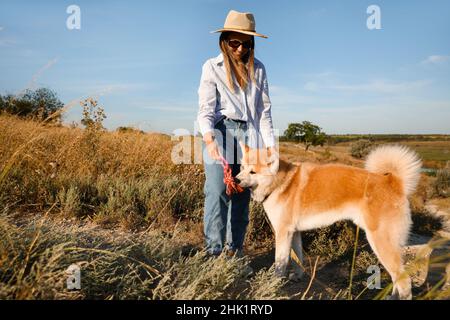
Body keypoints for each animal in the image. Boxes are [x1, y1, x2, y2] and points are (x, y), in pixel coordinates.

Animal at [236, 144, 422, 298]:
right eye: (242, 167)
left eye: (253, 172)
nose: (236, 179)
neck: (280, 183)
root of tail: (393, 182)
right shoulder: (293, 232)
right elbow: (297, 259)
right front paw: (297, 276)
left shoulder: (283, 232)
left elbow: (280, 264)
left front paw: (273, 284)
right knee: (397, 278)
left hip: (381, 243)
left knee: (404, 281)